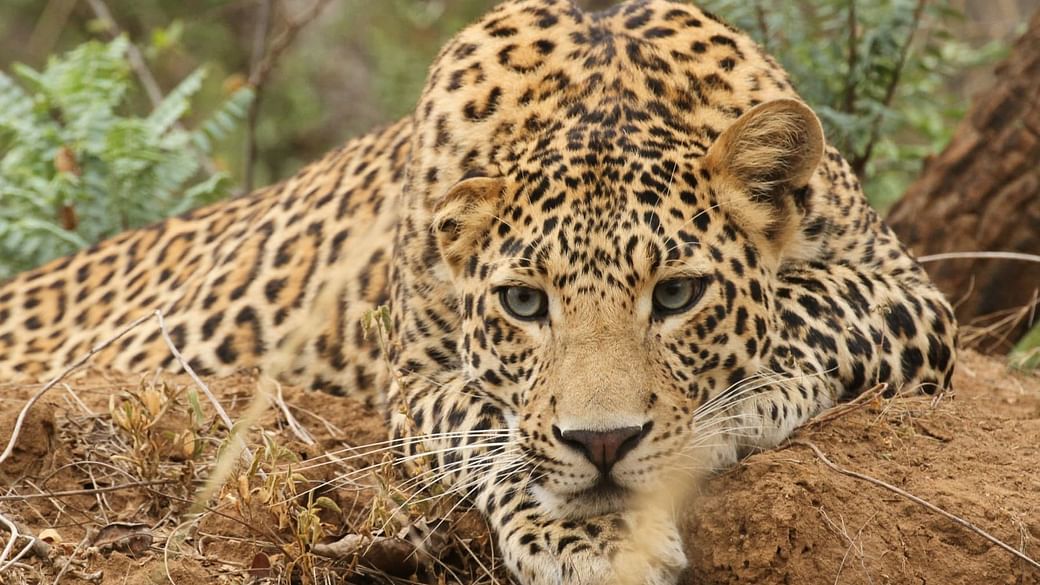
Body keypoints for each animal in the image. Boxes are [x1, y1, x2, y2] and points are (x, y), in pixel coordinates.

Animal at [0, 1, 957, 583]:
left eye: (678, 294)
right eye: (524, 304)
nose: (603, 442)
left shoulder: (912, 293)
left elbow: (814, 303)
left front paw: (739, 405)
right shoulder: (416, 382)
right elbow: (490, 429)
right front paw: (593, 538)